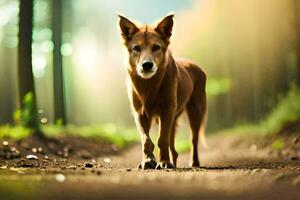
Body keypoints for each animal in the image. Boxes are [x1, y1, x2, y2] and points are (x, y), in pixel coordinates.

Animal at [118, 13, 207, 169]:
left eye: (156, 47)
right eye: (136, 48)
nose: (147, 65)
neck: (149, 85)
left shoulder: (167, 110)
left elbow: (162, 139)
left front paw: (164, 161)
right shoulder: (139, 113)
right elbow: (146, 140)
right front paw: (148, 161)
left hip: (195, 112)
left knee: (193, 140)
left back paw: (193, 163)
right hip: (173, 118)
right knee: (173, 145)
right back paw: (174, 162)